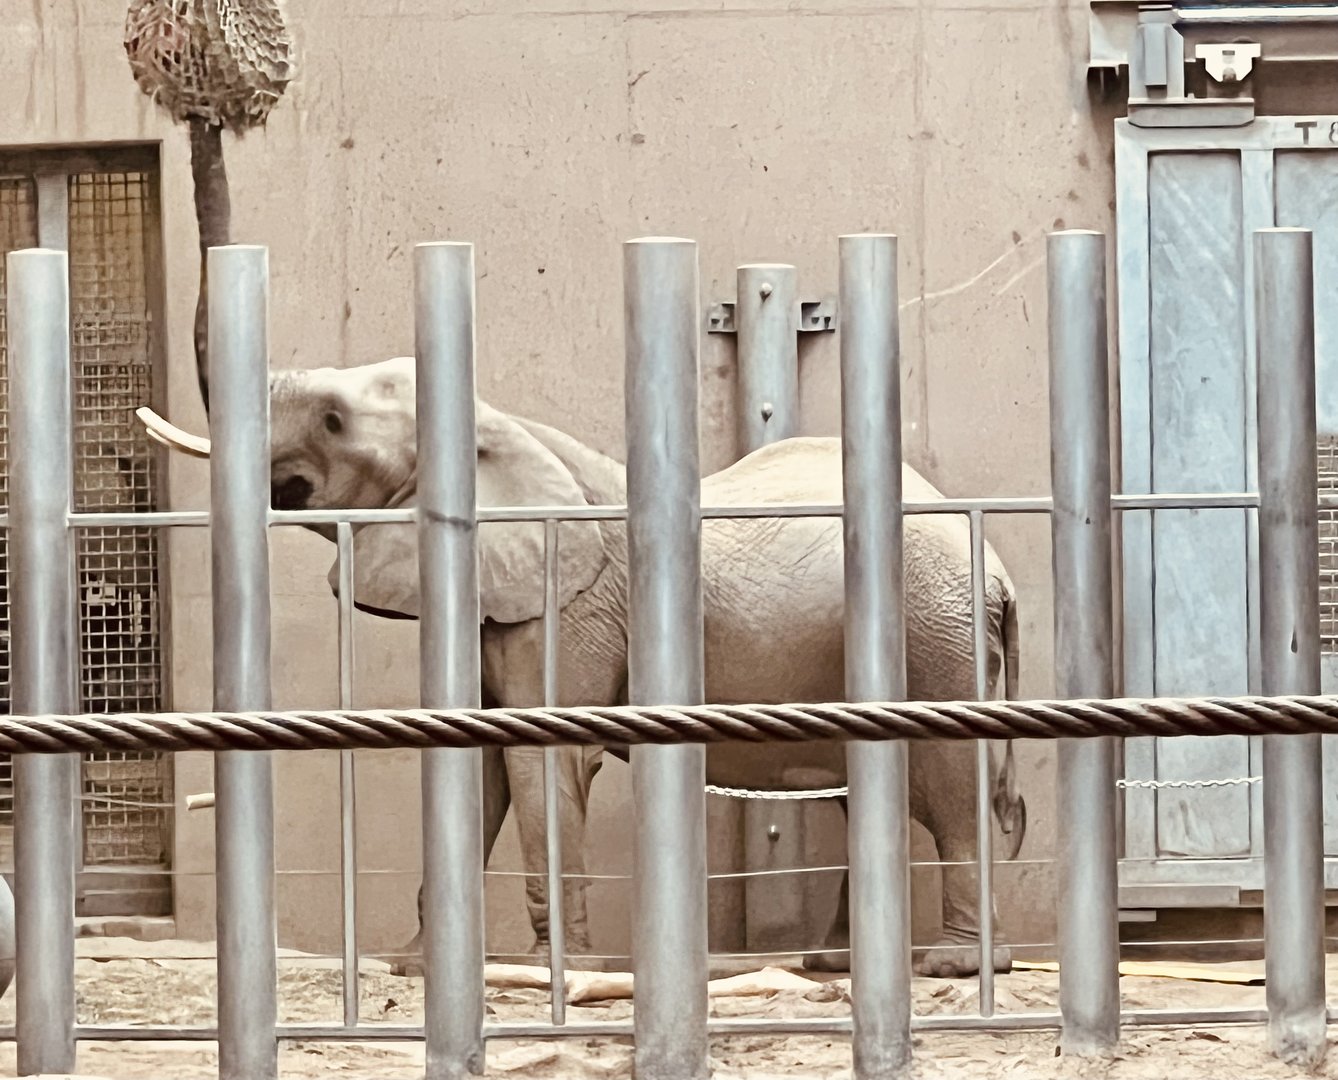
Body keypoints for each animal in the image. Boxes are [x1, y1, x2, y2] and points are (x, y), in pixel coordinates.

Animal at [144, 353, 1028, 979]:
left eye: (332, 421)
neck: (506, 428)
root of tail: (998, 575)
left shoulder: (572, 602)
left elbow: (545, 761)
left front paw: (553, 971)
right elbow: (480, 763)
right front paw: (416, 968)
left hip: (936, 634)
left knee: (951, 788)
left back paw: (954, 964)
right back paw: (834, 962)